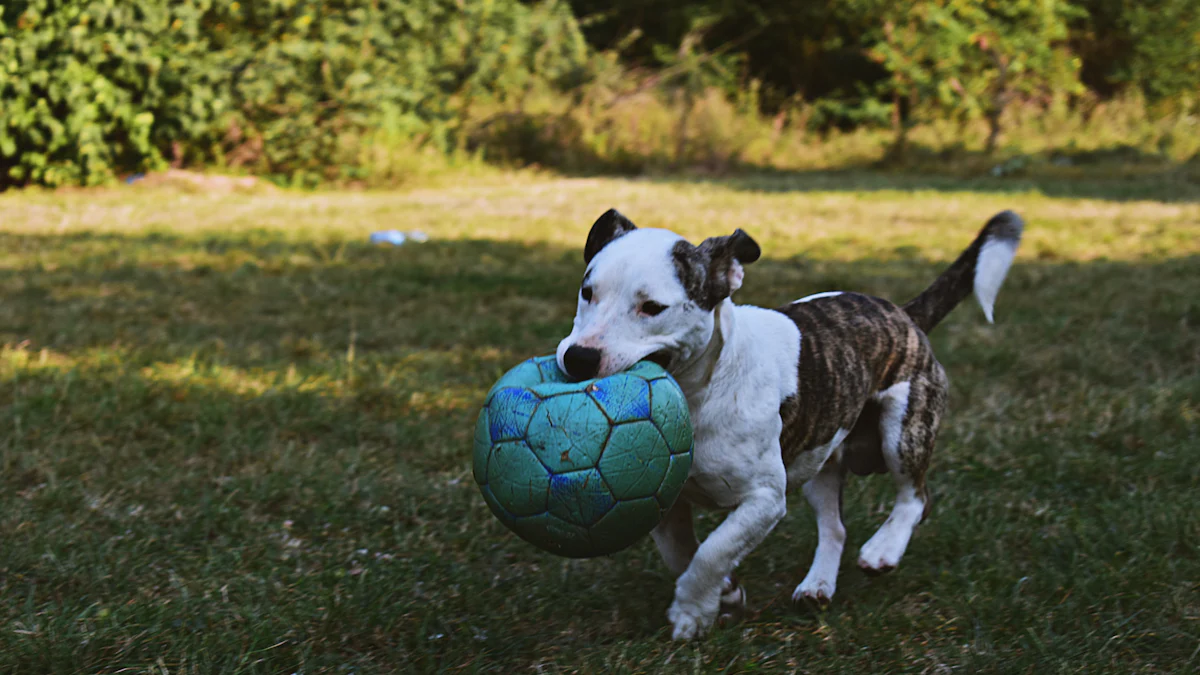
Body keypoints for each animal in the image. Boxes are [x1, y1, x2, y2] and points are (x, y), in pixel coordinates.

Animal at [552, 207, 1022, 638]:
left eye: (653, 308)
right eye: (587, 291)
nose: (579, 357)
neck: (699, 393)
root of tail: (903, 315)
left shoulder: (763, 499)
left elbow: (713, 551)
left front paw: (692, 613)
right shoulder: (658, 498)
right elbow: (681, 552)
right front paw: (726, 593)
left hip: (905, 428)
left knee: (915, 496)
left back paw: (883, 550)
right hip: (820, 458)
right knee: (834, 526)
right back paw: (817, 585)